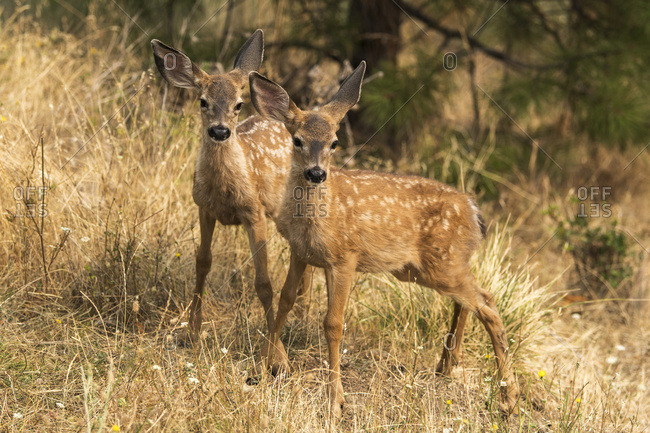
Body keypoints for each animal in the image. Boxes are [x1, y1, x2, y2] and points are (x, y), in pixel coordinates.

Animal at [151, 30, 312, 366]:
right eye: (202, 101)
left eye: (239, 105)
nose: (220, 131)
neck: (226, 189)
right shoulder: (203, 207)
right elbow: (202, 263)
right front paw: (193, 333)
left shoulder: (255, 212)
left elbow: (264, 283)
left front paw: (277, 357)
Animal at [248, 62, 520, 419]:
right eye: (297, 140)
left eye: (334, 142)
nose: (317, 174)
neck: (316, 218)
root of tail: (475, 213)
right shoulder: (301, 253)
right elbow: (285, 301)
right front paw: (266, 368)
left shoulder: (345, 256)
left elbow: (333, 324)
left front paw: (335, 401)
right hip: (425, 268)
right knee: (469, 300)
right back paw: (445, 367)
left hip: (442, 263)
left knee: (487, 303)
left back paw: (509, 399)